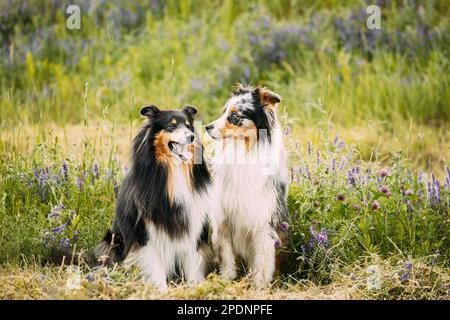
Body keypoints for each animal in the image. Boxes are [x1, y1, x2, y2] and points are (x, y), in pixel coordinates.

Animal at [94, 105, 213, 290]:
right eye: (171, 125)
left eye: (188, 126)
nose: (191, 137)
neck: (173, 170)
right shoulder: (147, 234)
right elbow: (155, 266)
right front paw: (161, 290)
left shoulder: (192, 227)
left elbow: (193, 263)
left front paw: (196, 286)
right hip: (110, 242)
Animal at [206, 84, 290, 288]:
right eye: (223, 111)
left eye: (235, 116)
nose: (206, 127)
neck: (242, 151)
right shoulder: (223, 219)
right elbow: (226, 257)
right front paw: (226, 281)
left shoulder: (262, 222)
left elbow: (262, 261)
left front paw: (259, 286)